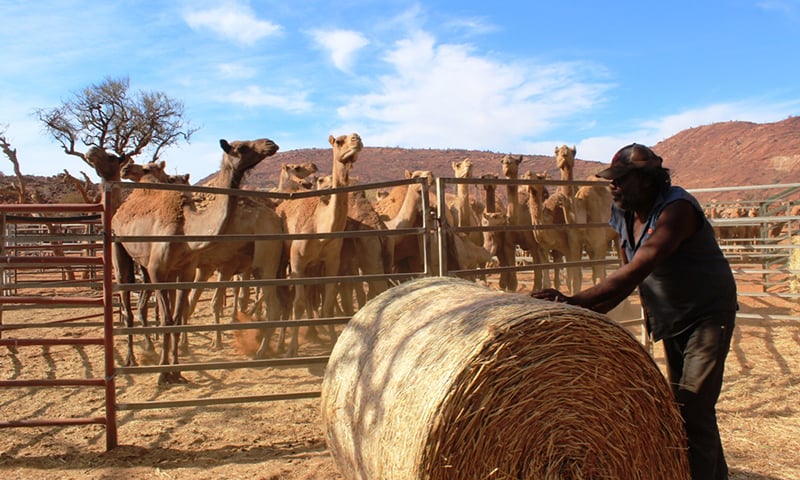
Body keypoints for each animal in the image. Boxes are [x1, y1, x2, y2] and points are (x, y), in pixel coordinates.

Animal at [92, 139, 280, 382]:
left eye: (111, 158)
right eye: (242, 147)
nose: (270, 143)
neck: (187, 227)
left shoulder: (185, 270)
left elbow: (176, 314)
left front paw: (171, 368)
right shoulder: (167, 271)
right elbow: (173, 315)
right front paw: (170, 368)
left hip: (262, 263)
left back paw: (261, 349)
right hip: (120, 249)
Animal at [276, 131, 362, 356]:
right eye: (339, 141)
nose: (357, 139)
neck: (320, 228)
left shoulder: (332, 262)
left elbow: (328, 303)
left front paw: (332, 342)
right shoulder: (297, 262)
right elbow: (297, 304)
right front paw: (292, 349)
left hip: (313, 267)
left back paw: (313, 332)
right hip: (285, 259)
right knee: (287, 298)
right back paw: (281, 342)